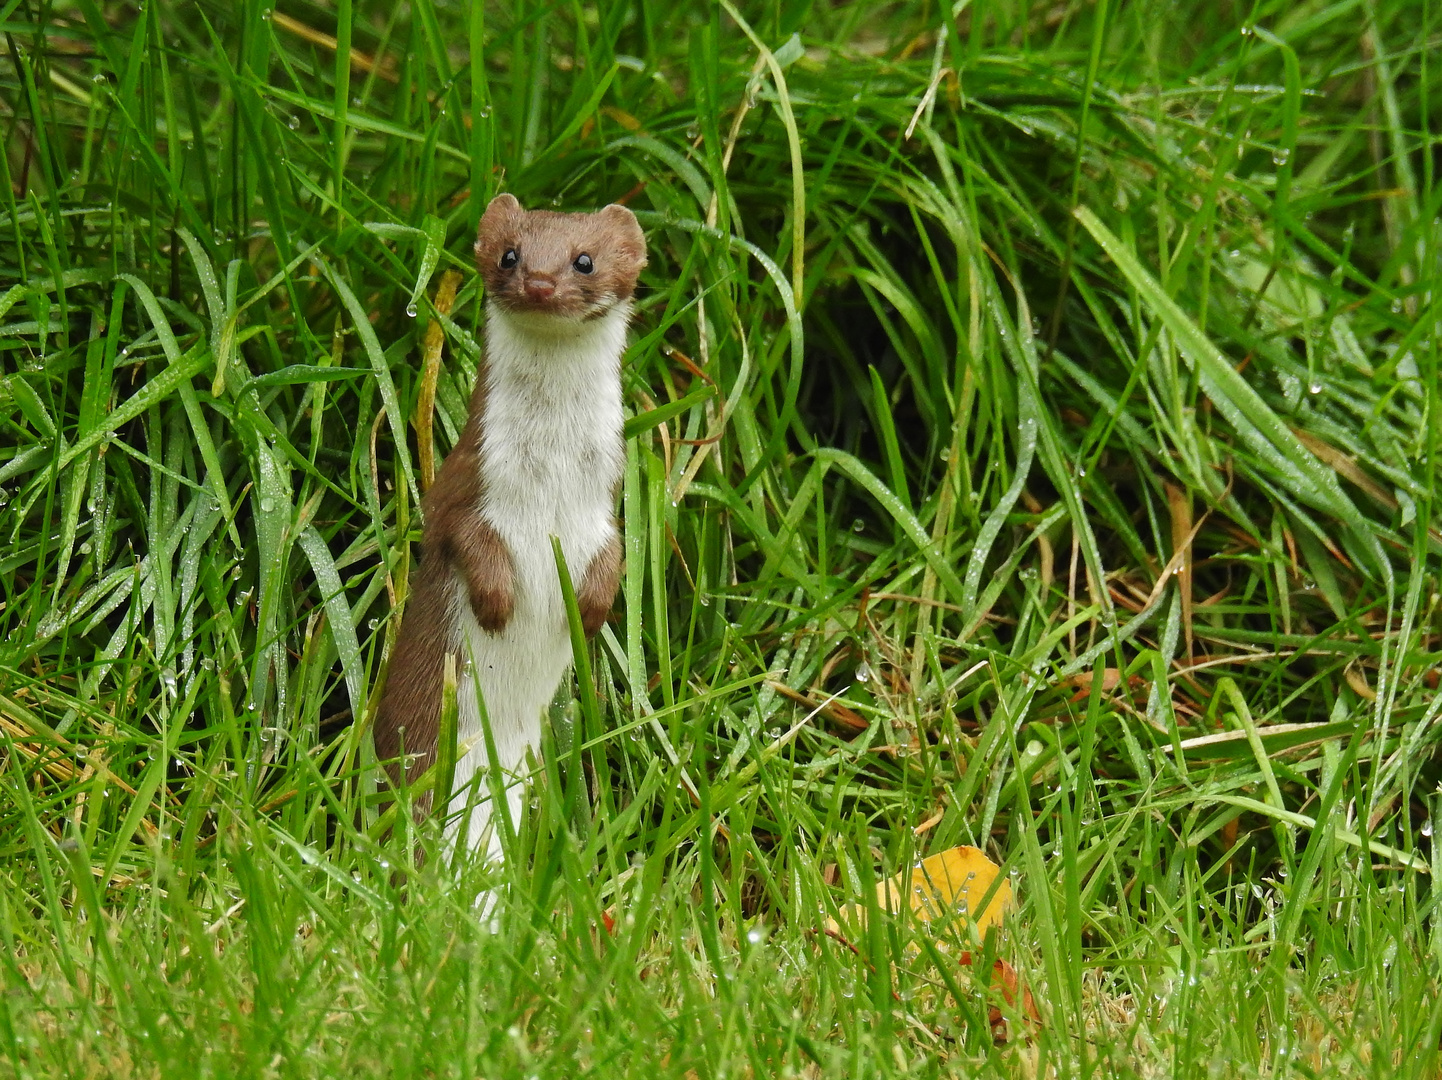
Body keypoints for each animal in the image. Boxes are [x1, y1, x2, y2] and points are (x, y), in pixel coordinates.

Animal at [374, 193, 646, 865]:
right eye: (510, 254)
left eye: (585, 259)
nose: (541, 281)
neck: (549, 484)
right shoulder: (467, 485)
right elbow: (462, 536)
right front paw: (497, 602)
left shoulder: (603, 509)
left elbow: (614, 554)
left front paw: (591, 610)